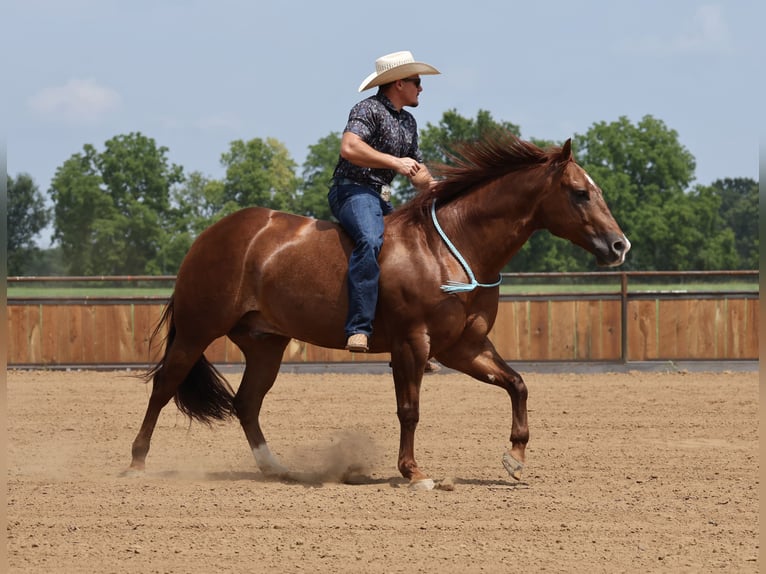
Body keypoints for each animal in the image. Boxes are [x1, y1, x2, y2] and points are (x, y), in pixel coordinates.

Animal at [129, 132, 630, 490]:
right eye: (580, 192)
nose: (619, 245)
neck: (448, 248)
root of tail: (211, 236)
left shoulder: (463, 347)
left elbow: (517, 384)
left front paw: (515, 457)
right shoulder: (412, 344)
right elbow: (409, 409)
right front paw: (413, 472)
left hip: (265, 343)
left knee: (246, 402)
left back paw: (275, 468)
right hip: (197, 330)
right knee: (164, 387)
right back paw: (136, 463)